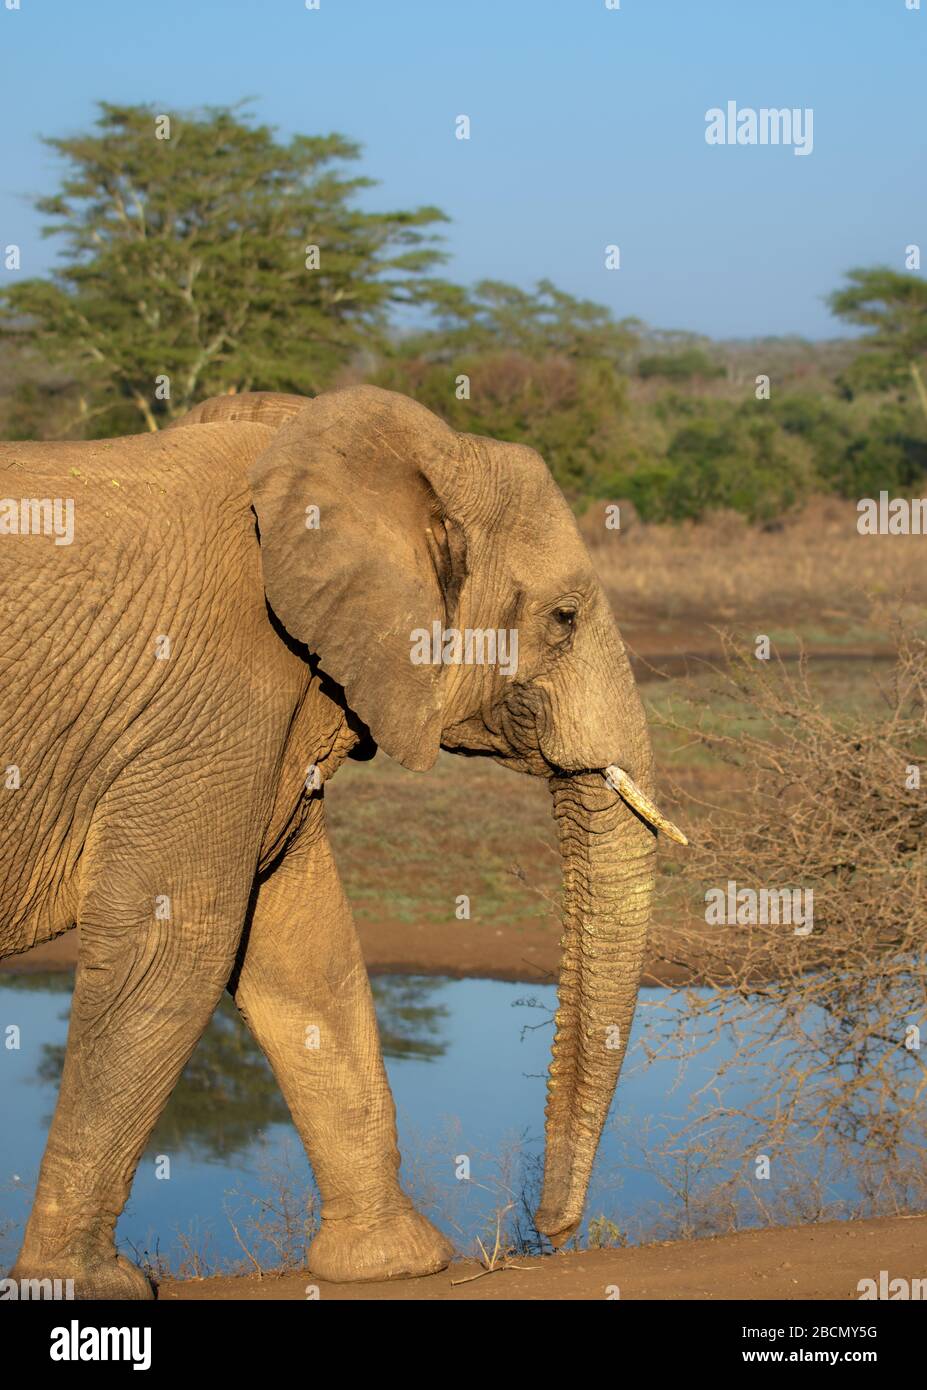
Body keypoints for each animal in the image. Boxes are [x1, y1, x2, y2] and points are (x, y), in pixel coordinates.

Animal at [0, 386, 681, 1295]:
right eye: (564, 618)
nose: (547, 1234)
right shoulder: (211, 691)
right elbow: (175, 942)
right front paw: (87, 1287)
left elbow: (300, 951)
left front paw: (398, 1264)